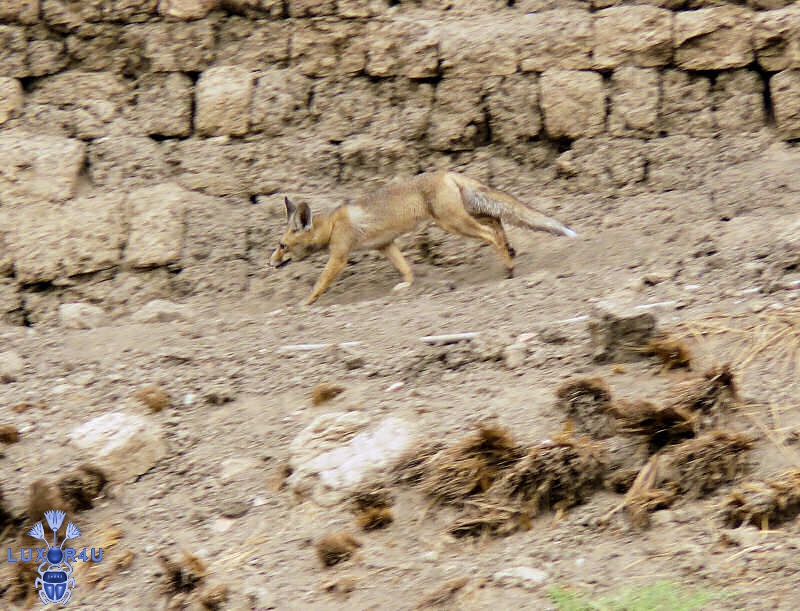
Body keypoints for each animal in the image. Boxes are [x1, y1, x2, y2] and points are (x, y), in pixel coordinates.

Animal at [269, 171, 577, 305]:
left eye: (282, 246)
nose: (270, 263)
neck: (333, 225)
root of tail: (446, 172)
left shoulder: (339, 256)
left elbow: (320, 284)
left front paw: (304, 304)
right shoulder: (386, 245)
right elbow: (406, 268)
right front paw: (407, 286)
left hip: (452, 223)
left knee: (491, 233)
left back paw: (509, 268)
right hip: (464, 216)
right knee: (497, 221)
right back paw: (511, 253)